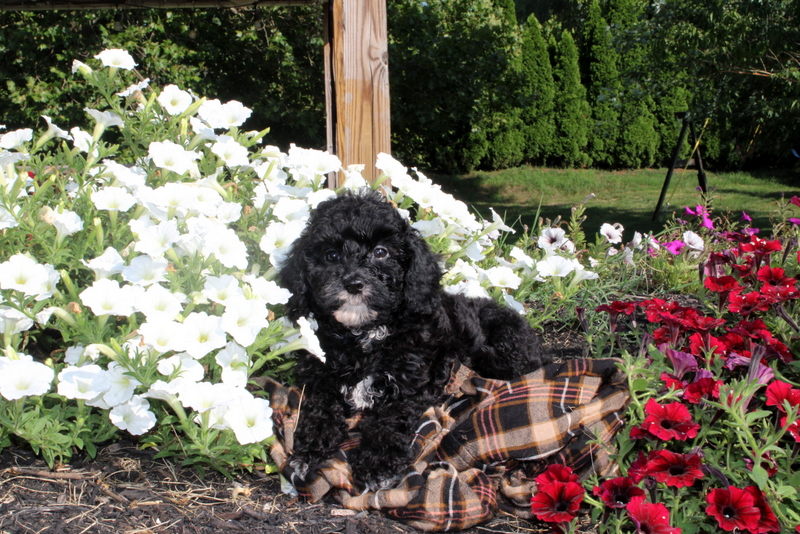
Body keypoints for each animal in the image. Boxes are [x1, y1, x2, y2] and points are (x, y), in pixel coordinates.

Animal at [278, 191, 548, 492]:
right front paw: (310, 450)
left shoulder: (411, 385)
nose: (353, 283)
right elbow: (319, 408)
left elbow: (388, 421)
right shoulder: (319, 375)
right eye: (331, 255)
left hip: (502, 355)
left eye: (381, 252)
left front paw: (378, 465)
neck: (366, 335)